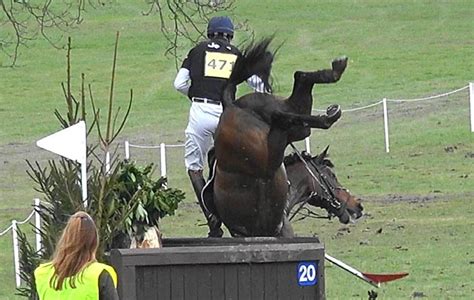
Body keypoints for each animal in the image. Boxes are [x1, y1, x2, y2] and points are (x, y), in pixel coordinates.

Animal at [207, 38, 348, 237]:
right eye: (331, 175)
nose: (357, 208)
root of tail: (231, 105)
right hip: (271, 153)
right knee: (287, 114)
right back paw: (329, 110)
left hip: (274, 136)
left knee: (293, 94)